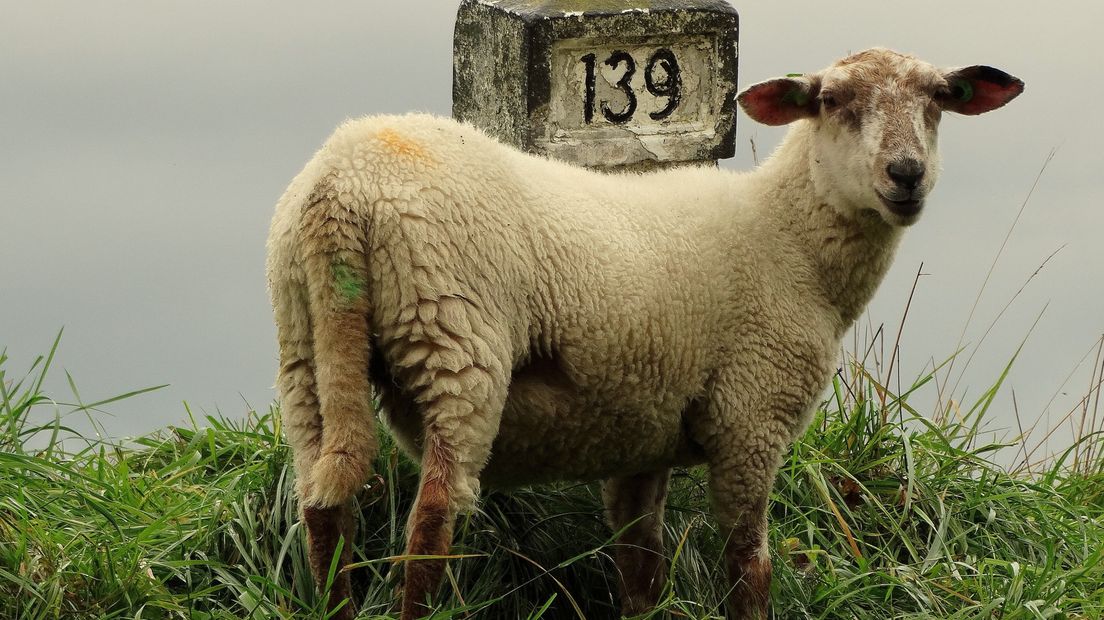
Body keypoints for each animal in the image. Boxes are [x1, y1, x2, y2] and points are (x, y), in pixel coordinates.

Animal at [267, 45, 1024, 613]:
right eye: (834, 102)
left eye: (939, 98)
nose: (907, 174)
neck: (789, 239)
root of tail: (343, 184)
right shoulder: (753, 415)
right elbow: (749, 564)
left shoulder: (644, 428)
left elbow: (642, 568)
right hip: (455, 339)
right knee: (431, 522)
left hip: (304, 340)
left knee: (323, 507)